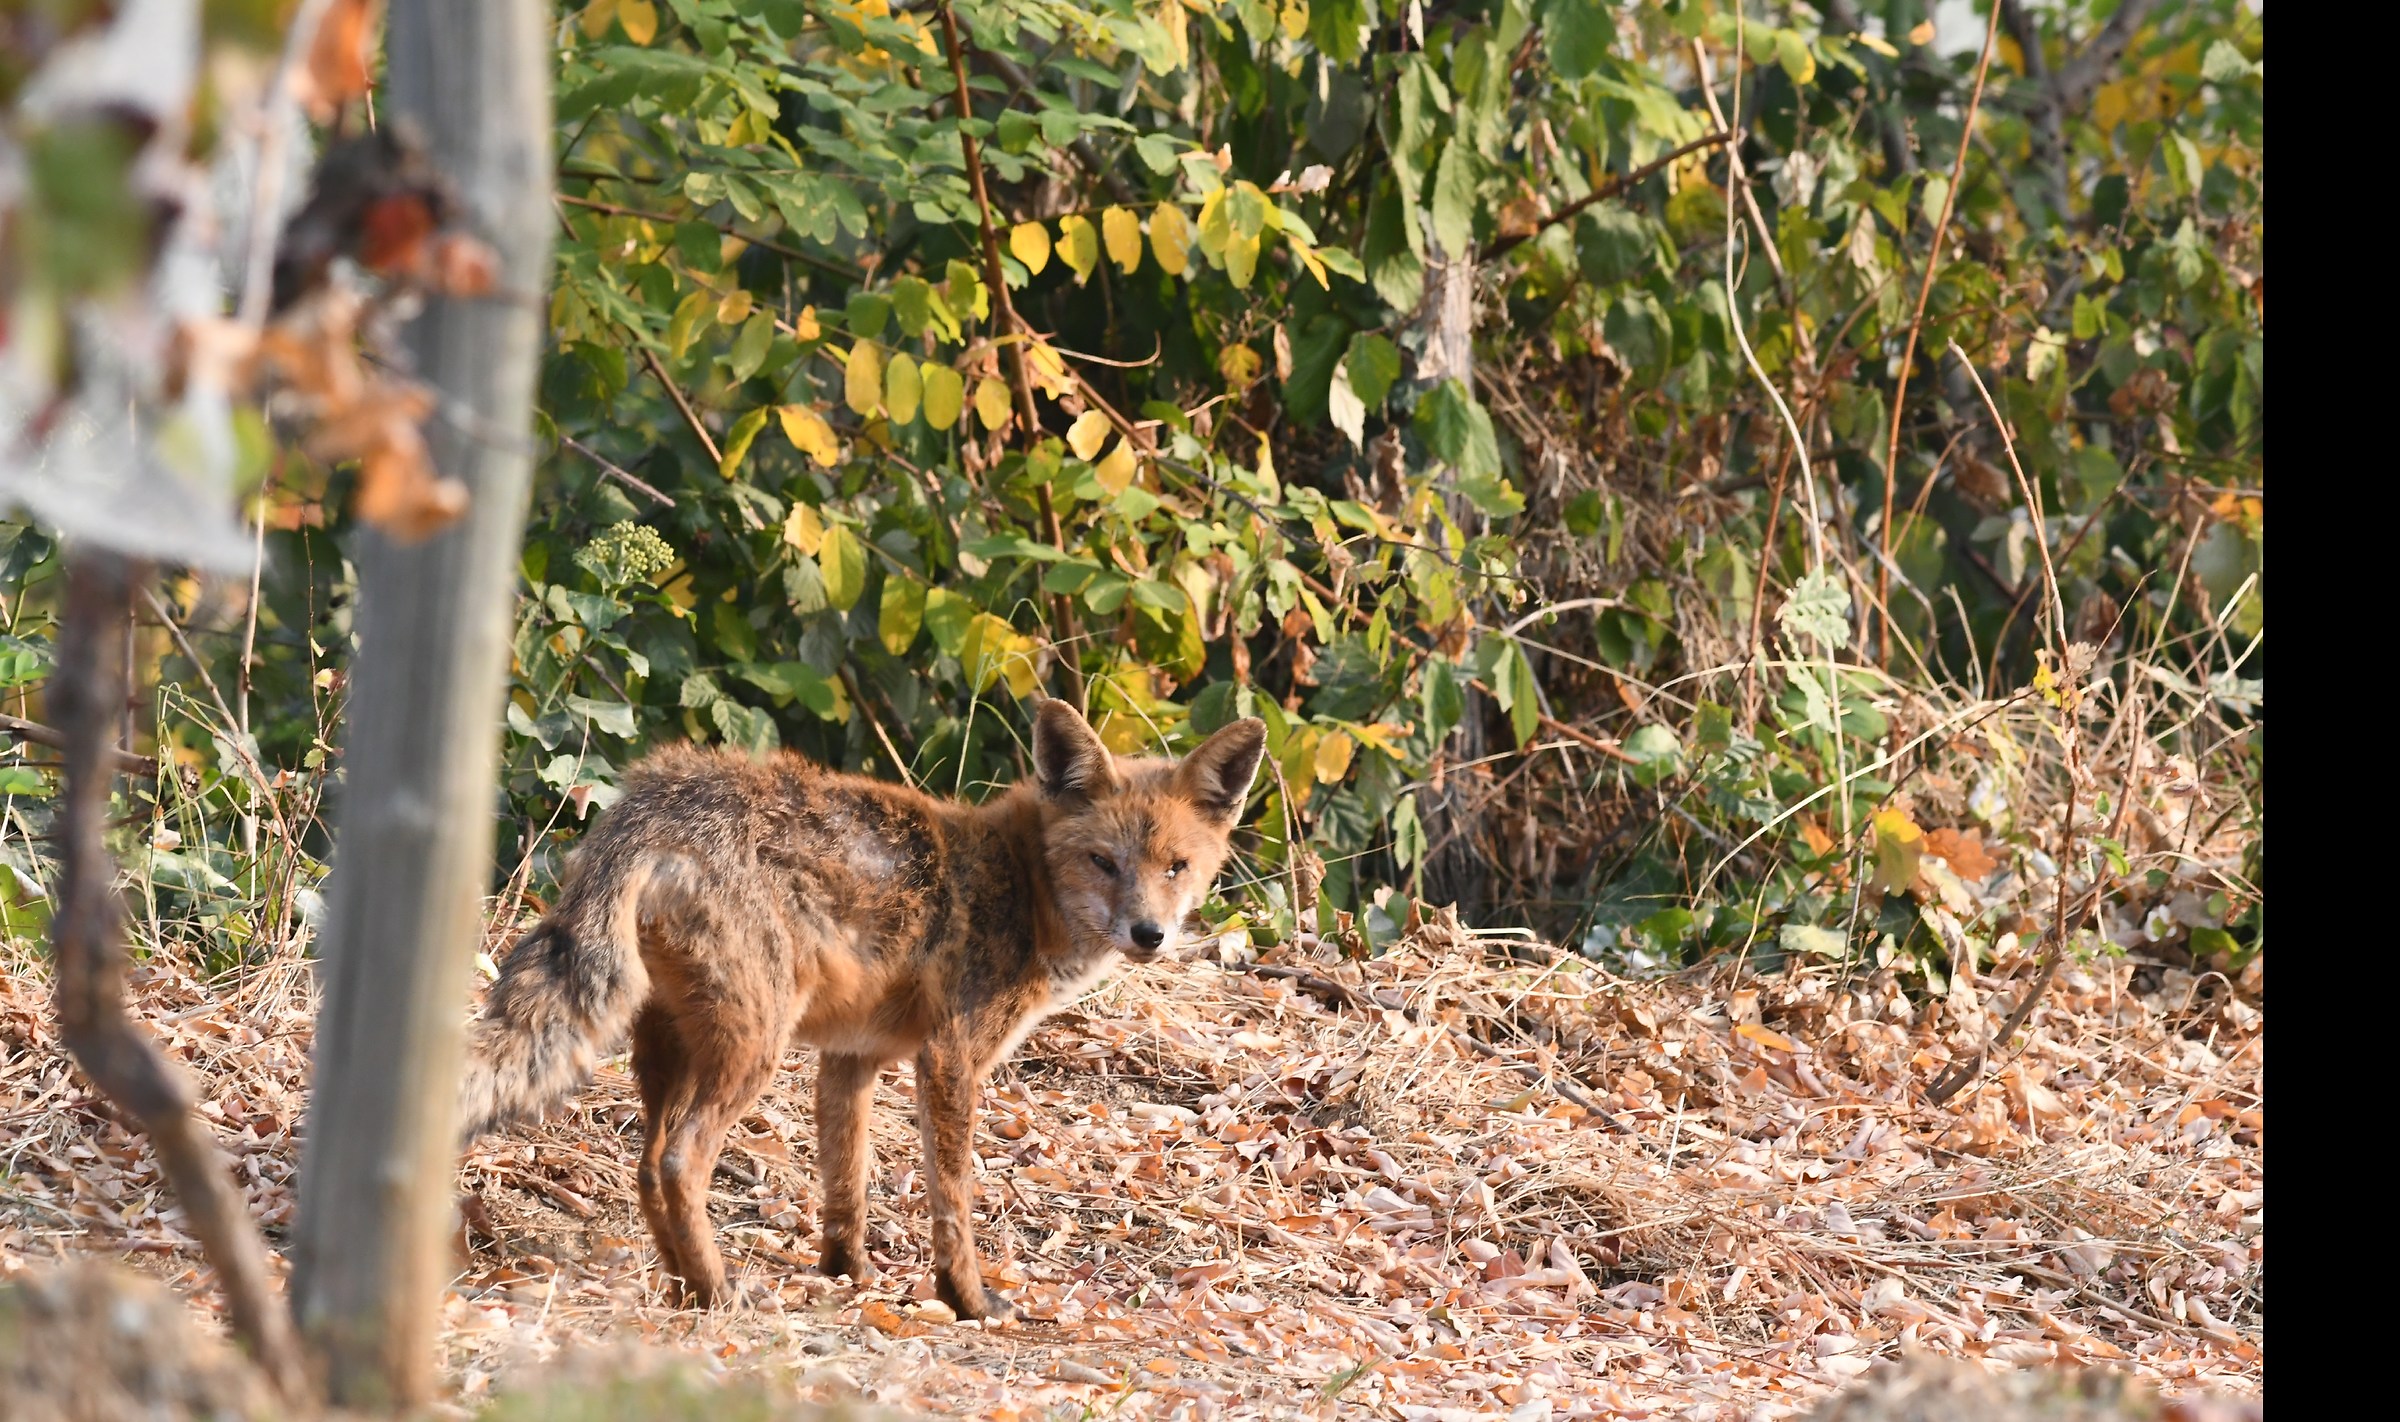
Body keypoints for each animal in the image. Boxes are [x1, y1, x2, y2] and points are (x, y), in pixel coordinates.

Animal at [456, 697, 1267, 1319]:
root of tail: (657, 796)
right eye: (1103, 862)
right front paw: (966, 1299)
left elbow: (847, 1182)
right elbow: (952, 1201)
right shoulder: (950, 1059)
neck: (1021, 886)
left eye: (1177, 867)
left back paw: (687, 1284)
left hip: (669, 1050)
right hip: (752, 1047)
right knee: (680, 1162)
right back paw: (719, 1293)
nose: (1149, 935)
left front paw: (848, 1273)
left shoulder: (851, 1058)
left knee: (648, 1164)